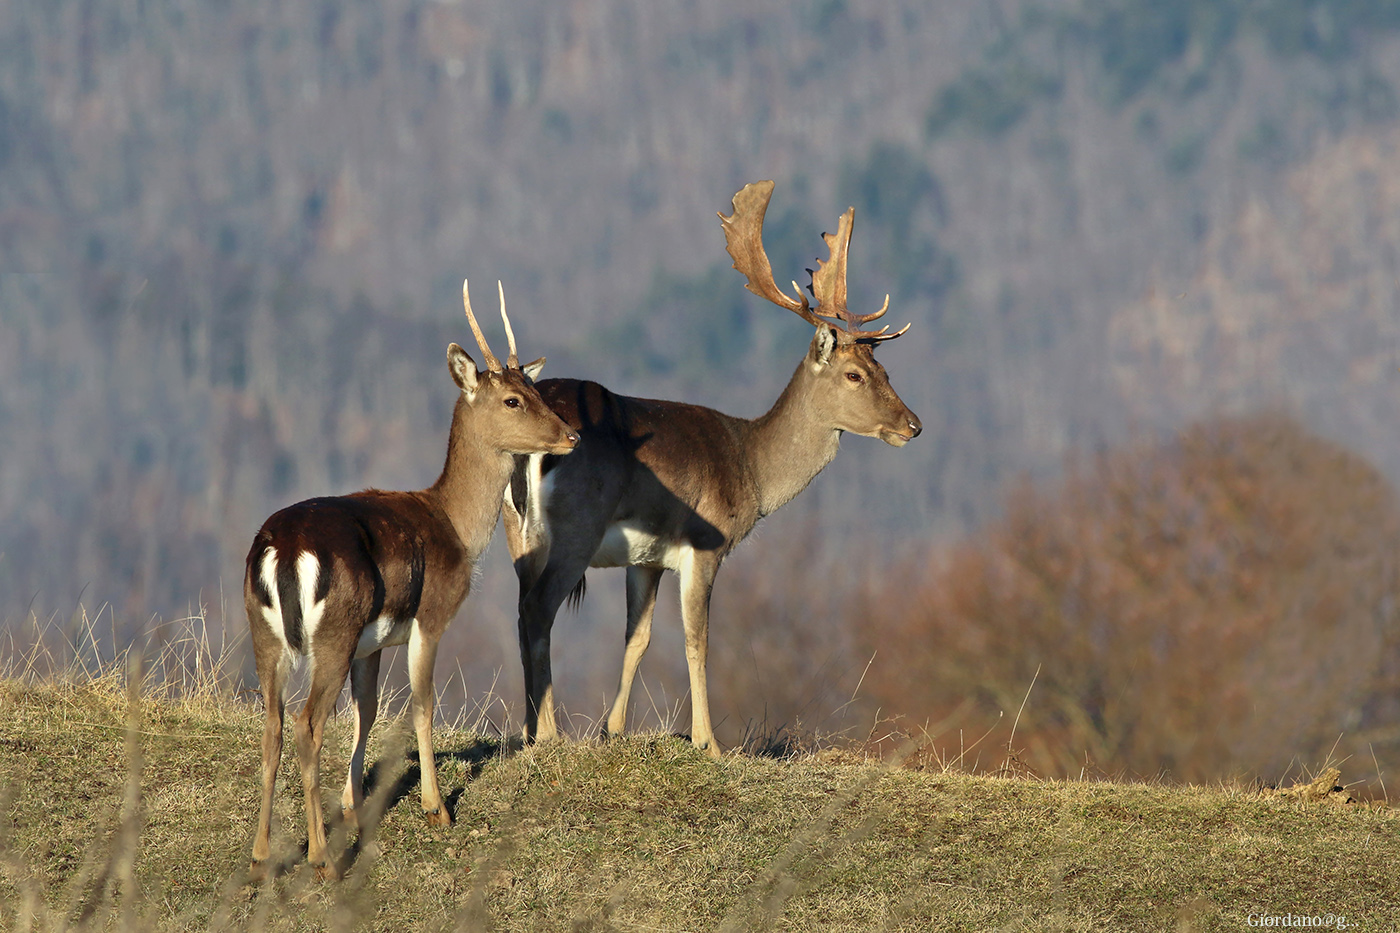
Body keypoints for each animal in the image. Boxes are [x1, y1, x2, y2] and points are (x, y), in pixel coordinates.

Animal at [243, 281, 578, 881]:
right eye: (512, 400)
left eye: (534, 387)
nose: (571, 435)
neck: (455, 527)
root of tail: (283, 550)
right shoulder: (431, 615)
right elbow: (421, 704)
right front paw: (436, 808)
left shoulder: (372, 643)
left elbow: (368, 710)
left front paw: (354, 804)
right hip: (332, 632)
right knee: (306, 724)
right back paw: (323, 858)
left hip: (265, 632)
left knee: (274, 725)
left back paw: (261, 854)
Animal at [502, 180, 922, 757]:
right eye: (855, 374)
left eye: (885, 369)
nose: (913, 425)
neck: (750, 469)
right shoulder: (706, 542)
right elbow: (697, 639)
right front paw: (709, 743)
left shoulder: (647, 558)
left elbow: (637, 637)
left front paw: (614, 730)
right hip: (576, 528)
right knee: (539, 610)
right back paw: (549, 733)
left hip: (515, 530)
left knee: (522, 611)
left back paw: (529, 730)